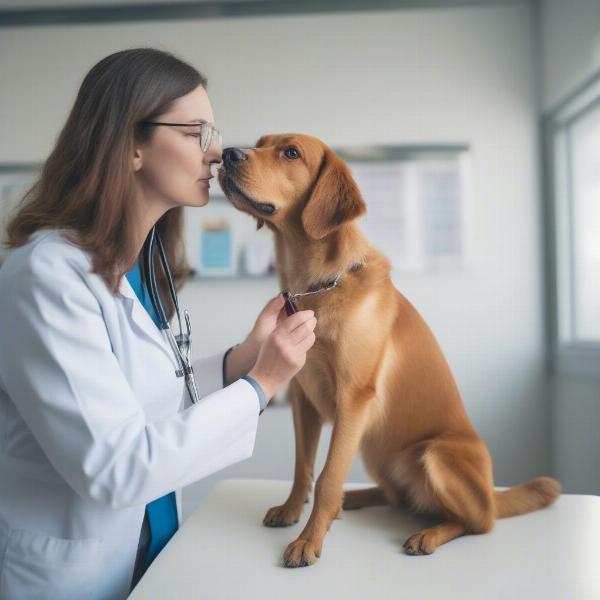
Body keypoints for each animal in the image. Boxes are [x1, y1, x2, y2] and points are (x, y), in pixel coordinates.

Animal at [218, 135, 560, 568]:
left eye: (290, 152)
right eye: (260, 143)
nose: (227, 154)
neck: (314, 287)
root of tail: (492, 495)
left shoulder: (353, 399)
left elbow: (328, 476)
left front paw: (309, 540)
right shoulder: (303, 398)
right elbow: (304, 466)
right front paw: (293, 509)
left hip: (433, 454)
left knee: (477, 521)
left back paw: (428, 533)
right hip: (376, 450)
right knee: (401, 498)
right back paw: (354, 501)